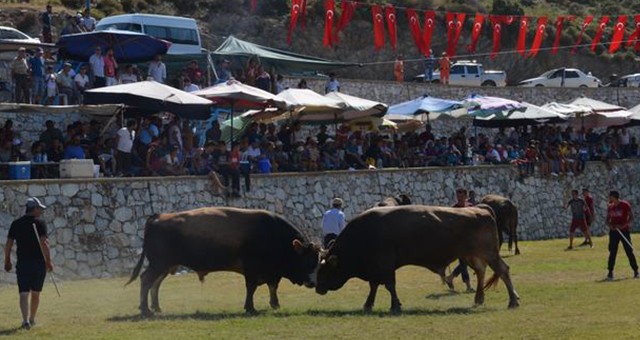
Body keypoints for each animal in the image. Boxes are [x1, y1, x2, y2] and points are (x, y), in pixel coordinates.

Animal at [126, 207, 320, 316]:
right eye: (309, 259)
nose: (313, 282)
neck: (272, 234)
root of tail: (158, 216)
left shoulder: (272, 272)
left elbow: (273, 286)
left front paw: (275, 304)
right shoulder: (252, 270)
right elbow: (251, 288)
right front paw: (250, 307)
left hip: (165, 266)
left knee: (155, 283)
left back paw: (156, 307)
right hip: (159, 264)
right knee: (146, 280)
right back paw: (146, 309)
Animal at [316, 205, 520, 314]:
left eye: (324, 270)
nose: (317, 288)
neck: (364, 234)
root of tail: (480, 208)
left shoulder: (384, 265)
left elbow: (389, 285)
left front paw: (395, 306)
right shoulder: (377, 269)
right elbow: (374, 286)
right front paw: (368, 304)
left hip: (489, 254)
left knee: (503, 270)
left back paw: (513, 301)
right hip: (473, 256)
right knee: (481, 271)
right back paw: (479, 299)